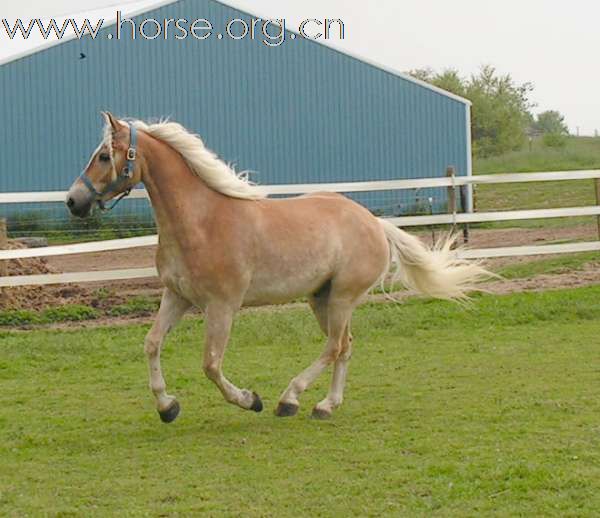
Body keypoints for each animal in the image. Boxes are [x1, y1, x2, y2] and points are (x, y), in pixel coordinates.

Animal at [65, 112, 490, 422]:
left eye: (104, 156)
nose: (73, 201)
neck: (201, 222)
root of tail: (374, 222)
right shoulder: (177, 297)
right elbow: (152, 344)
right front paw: (167, 407)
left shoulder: (222, 306)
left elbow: (211, 365)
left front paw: (250, 399)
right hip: (322, 298)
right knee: (345, 346)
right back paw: (325, 405)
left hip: (342, 298)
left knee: (334, 346)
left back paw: (291, 399)